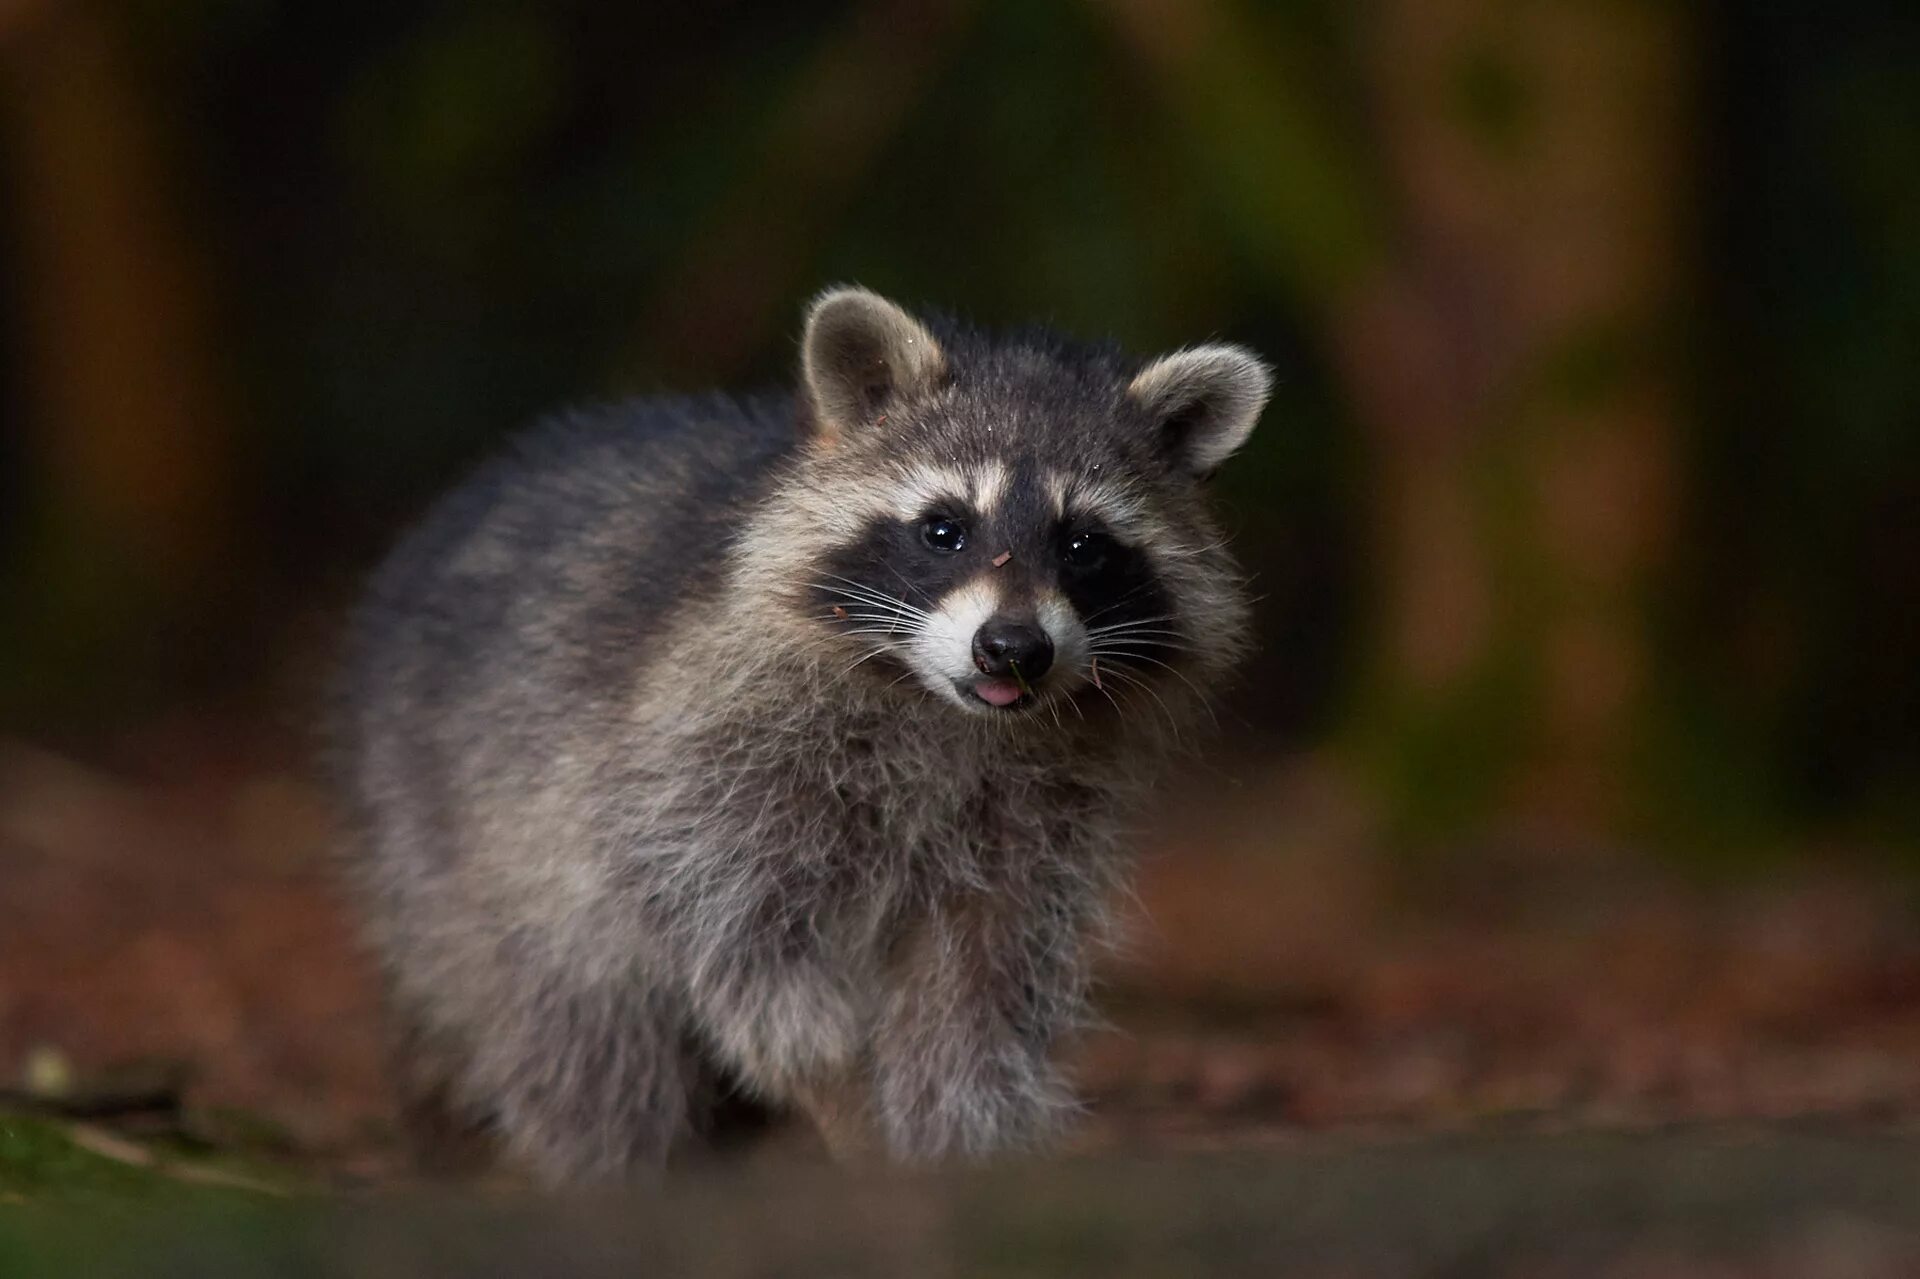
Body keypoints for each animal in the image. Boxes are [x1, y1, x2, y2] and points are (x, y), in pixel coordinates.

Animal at [334, 288, 1274, 1182]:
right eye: (944, 529)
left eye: (1083, 545)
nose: (1013, 647)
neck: (948, 711)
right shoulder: (703, 758)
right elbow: (749, 955)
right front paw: (846, 1104)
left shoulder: (1036, 827)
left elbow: (980, 996)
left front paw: (958, 1146)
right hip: (469, 856)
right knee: (583, 1041)